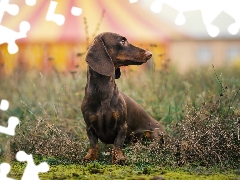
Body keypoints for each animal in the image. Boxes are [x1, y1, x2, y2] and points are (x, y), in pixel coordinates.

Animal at [80, 31, 165, 164]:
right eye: (122, 41)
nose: (150, 53)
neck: (103, 93)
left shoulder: (122, 126)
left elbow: (117, 144)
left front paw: (118, 158)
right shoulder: (89, 127)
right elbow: (93, 144)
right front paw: (90, 157)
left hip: (153, 134)